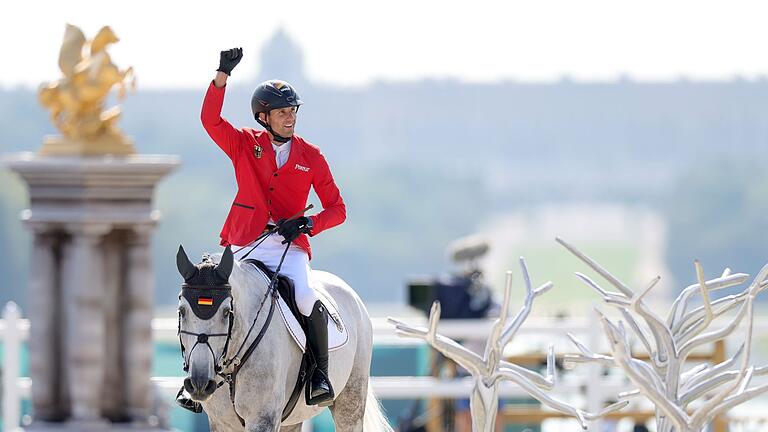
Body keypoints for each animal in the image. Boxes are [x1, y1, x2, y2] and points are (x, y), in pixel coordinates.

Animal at [177, 246, 392, 432]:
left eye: (225, 312)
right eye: (182, 311)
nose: (199, 383)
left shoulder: (262, 419)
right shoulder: (222, 423)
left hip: (350, 400)